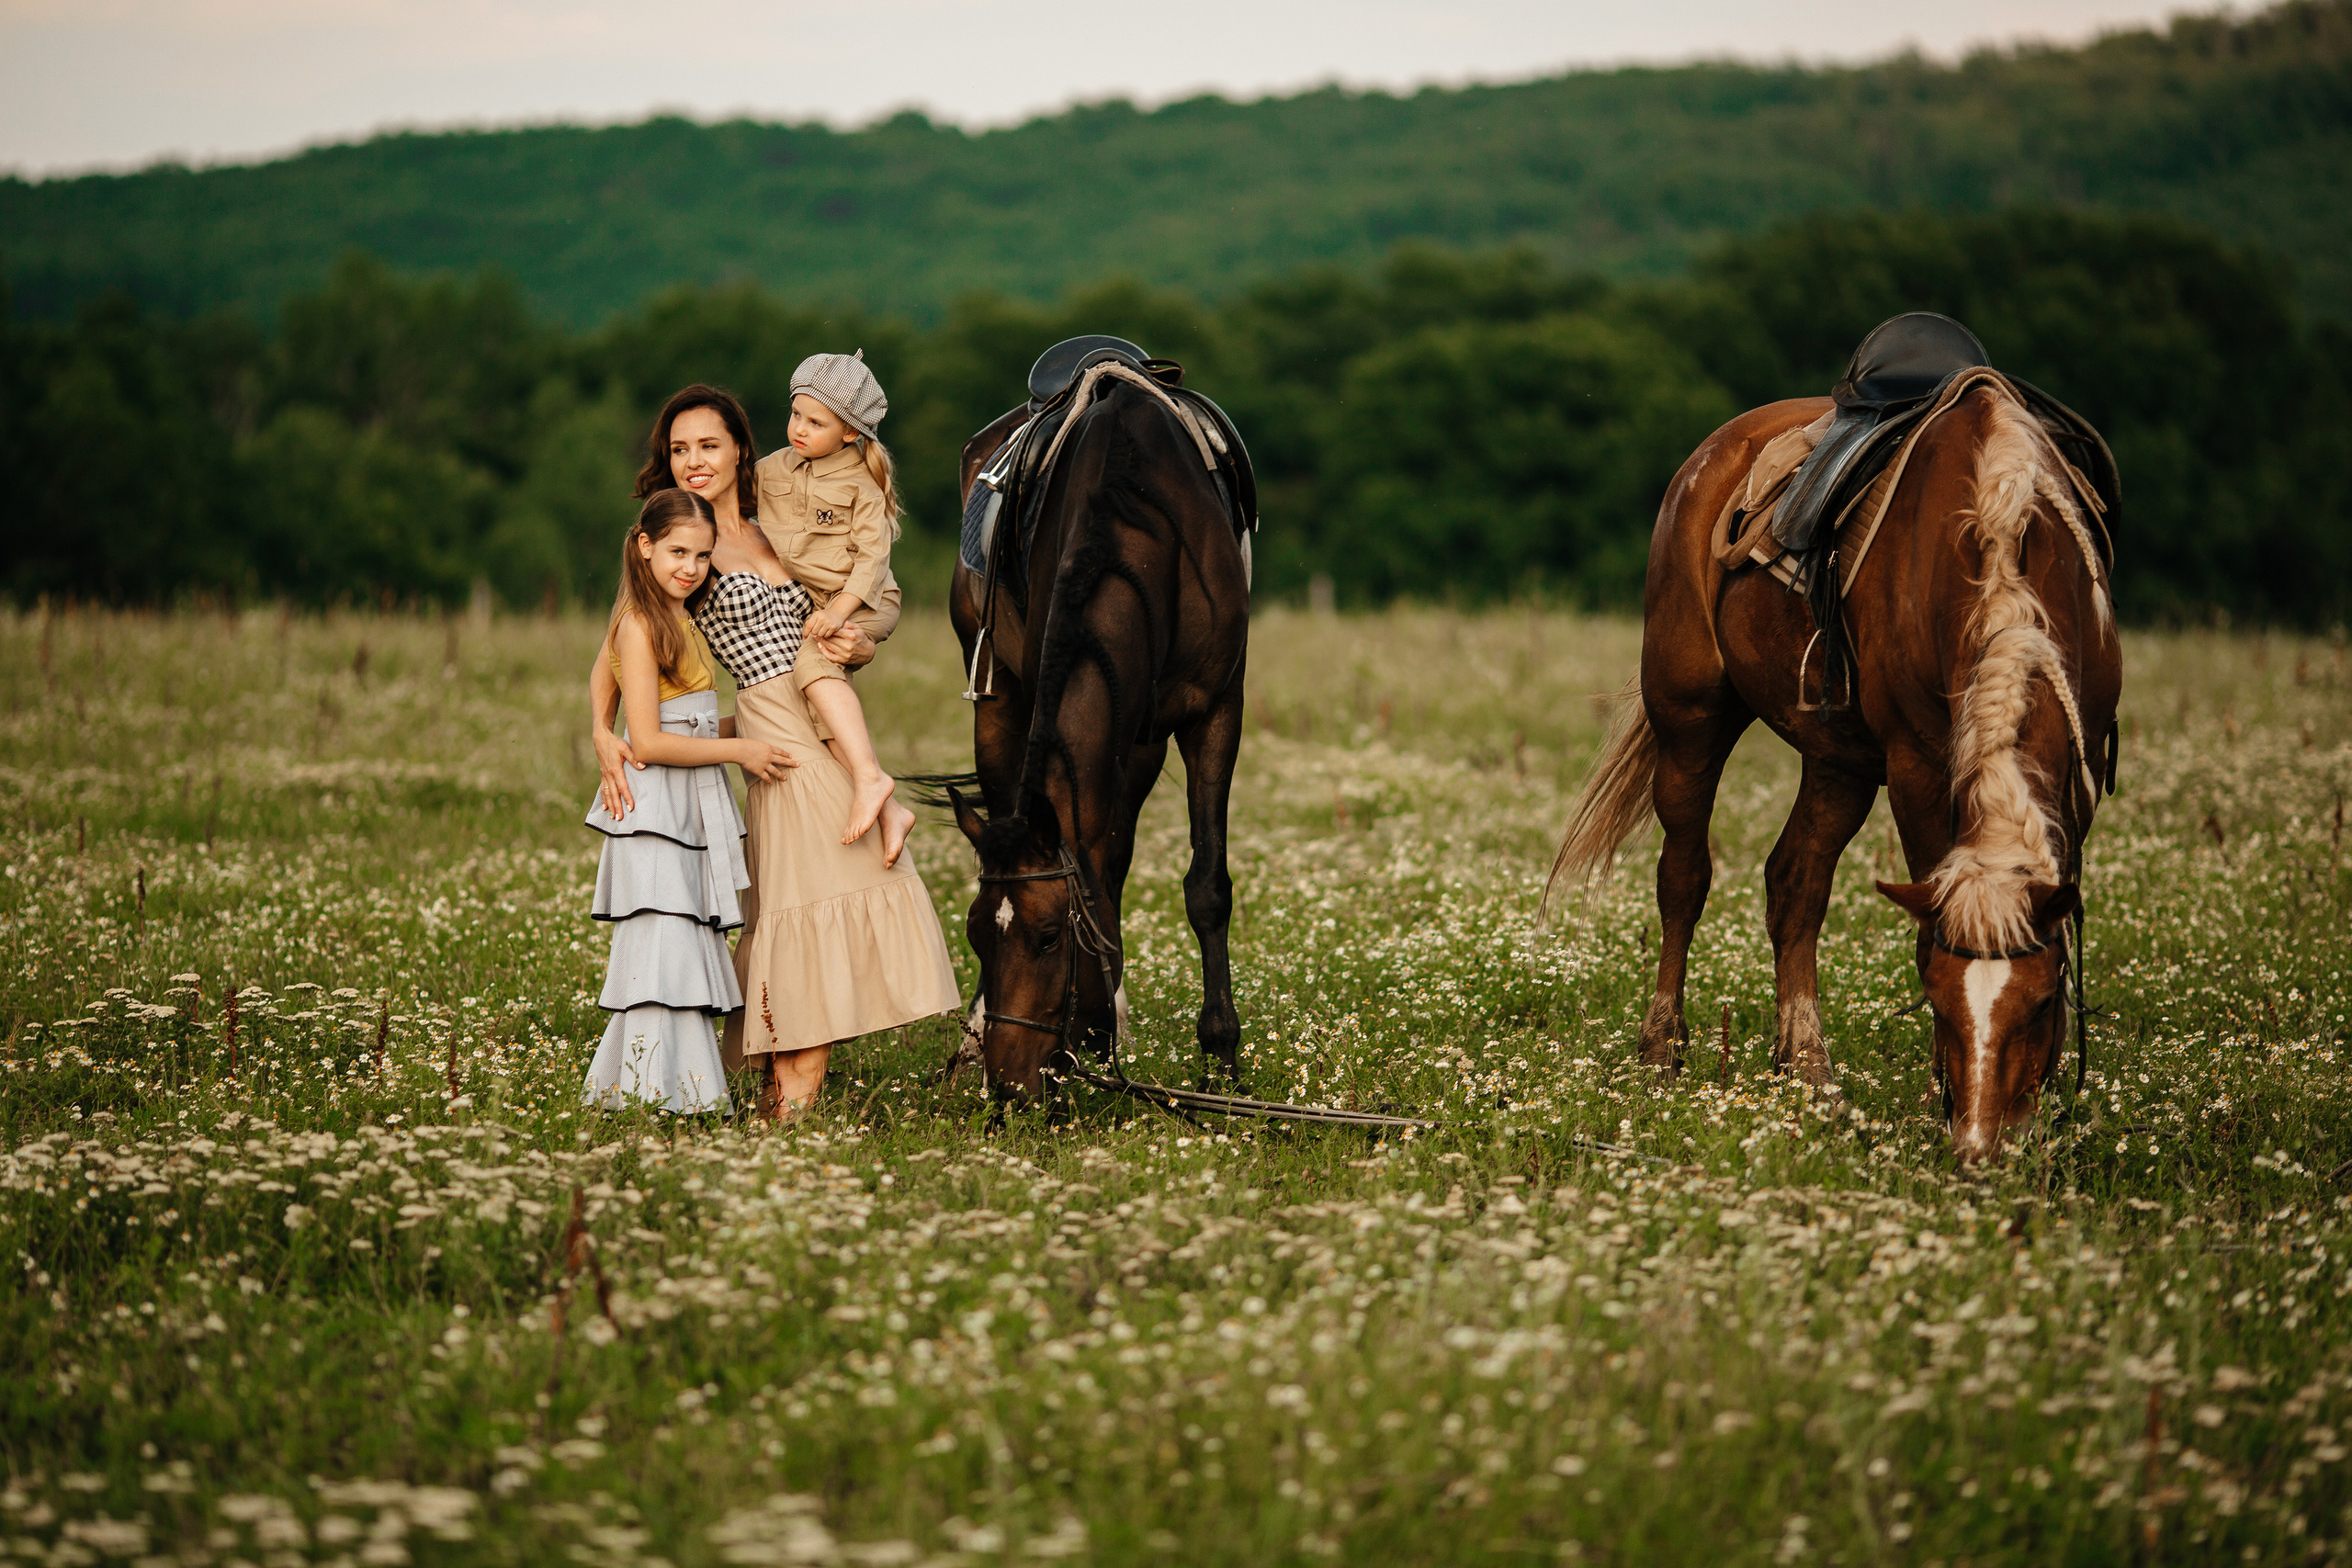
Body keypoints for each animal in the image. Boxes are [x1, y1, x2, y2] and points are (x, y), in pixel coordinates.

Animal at [945, 371, 1252, 1105]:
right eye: (975, 936)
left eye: (1049, 938)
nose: (1007, 1086)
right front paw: (1094, 1034)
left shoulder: (1215, 710)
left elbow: (1206, 886)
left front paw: (1222, 1056)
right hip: (998, 703)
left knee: (1110, 859)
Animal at [1545, 373, 2120, 1159]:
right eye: (1938, 997)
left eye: (2036, 1004)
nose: (1978, 1146)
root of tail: (1712, 455)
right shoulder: (1916, 765)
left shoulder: (2077, 774)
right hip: (1691, 717)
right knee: (1683, 877)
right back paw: (1663, 1048)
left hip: (1836, 760)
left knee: (1796, 884)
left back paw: (1808, 1068)